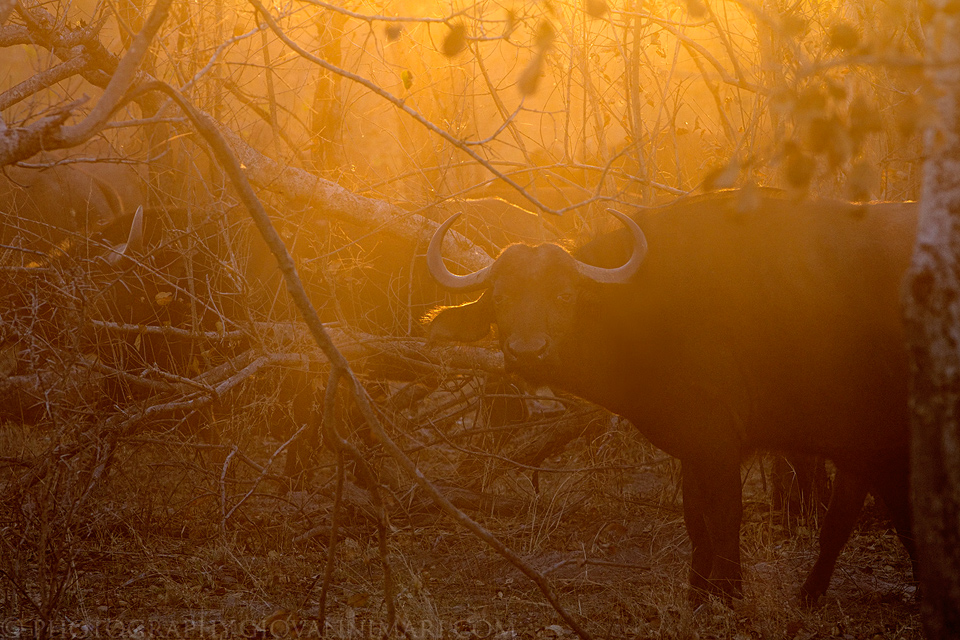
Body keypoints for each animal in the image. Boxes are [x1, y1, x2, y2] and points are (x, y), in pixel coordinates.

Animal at [426, 189, 917, 603]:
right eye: (501, 297)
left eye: (564, 296)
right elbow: (696, 519)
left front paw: (729, 594)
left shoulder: (720, 440)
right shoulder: (695, 443)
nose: (528, 351)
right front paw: (698, 593)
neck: (651, 308)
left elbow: (725, 516)